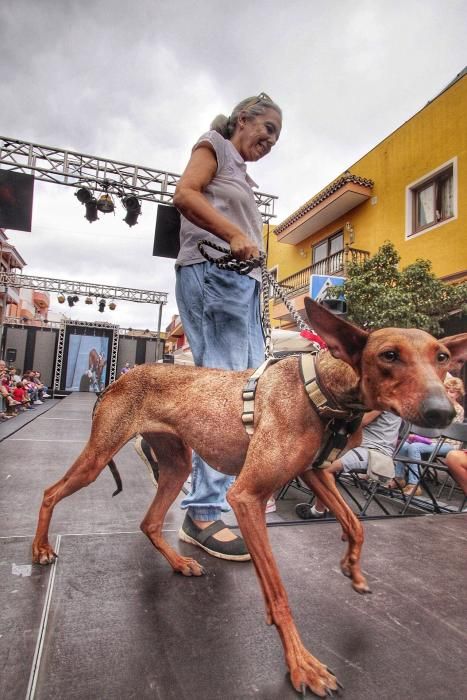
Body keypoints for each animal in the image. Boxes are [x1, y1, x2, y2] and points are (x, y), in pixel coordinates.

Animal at [33, 298, 467, 696]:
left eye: (442, 357)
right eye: (389, 355)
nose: (443, 412)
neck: (321, 388)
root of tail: (118, 378)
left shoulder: (316, 472)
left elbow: (356, 524)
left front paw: (353, 568)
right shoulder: (246, 497)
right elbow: (278, 593)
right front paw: (301, 664)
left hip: (176, 468)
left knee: (150, 521)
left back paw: (179, 562)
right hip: (98, 458)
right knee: (50, 492)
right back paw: (40, 549)